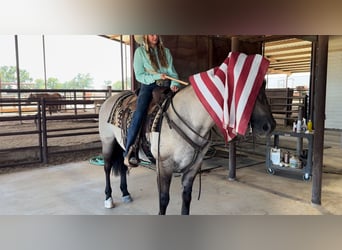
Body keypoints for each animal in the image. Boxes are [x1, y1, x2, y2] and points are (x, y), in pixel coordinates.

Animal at [98, 81, 276, 214]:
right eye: (246, 93)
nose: (269, 125)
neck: (188, 117)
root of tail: (109, 99)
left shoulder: (193, 167)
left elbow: (187, 198)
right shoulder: (164, 165)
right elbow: (164, 200)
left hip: (121, 146)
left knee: (122, 166)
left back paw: (125, 193)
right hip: (108, 142)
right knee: (107, 168)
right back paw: (108, 199)